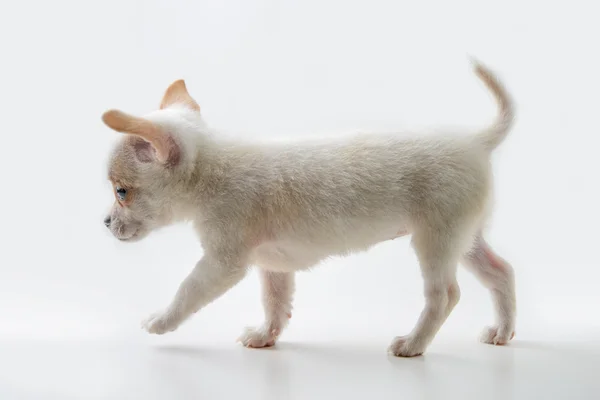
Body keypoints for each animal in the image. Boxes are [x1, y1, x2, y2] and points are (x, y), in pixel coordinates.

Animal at [103, 60, 516, 356]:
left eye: (121, 191)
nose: (105, 222)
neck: (212, 168)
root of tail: (476, 142)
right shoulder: (273, 264)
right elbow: (275, 302)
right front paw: (265, 336)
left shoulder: (222, 264)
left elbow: (187, 290)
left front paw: (160, 321)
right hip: (465, 239)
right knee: (502, 272)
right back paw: (503, 331)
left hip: (435, 242)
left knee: (445, 295)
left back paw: (413, 345)